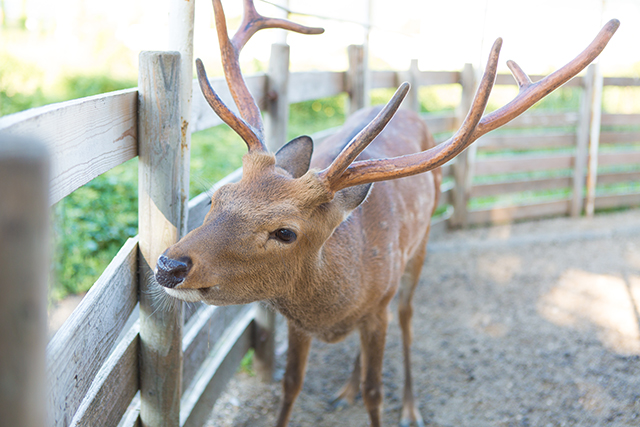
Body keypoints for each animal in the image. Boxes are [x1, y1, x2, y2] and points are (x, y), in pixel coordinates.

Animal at [152, 1, 616, 426]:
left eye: (286, 232)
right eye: (215, 197)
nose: (169, 265)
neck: (332, 307)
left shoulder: (379, 307)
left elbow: (377, 392)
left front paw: (379, 398)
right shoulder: (300, 325)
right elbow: (291, 384)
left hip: (419, 248)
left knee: (408, 317)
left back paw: (409, 406)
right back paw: (347, 388)